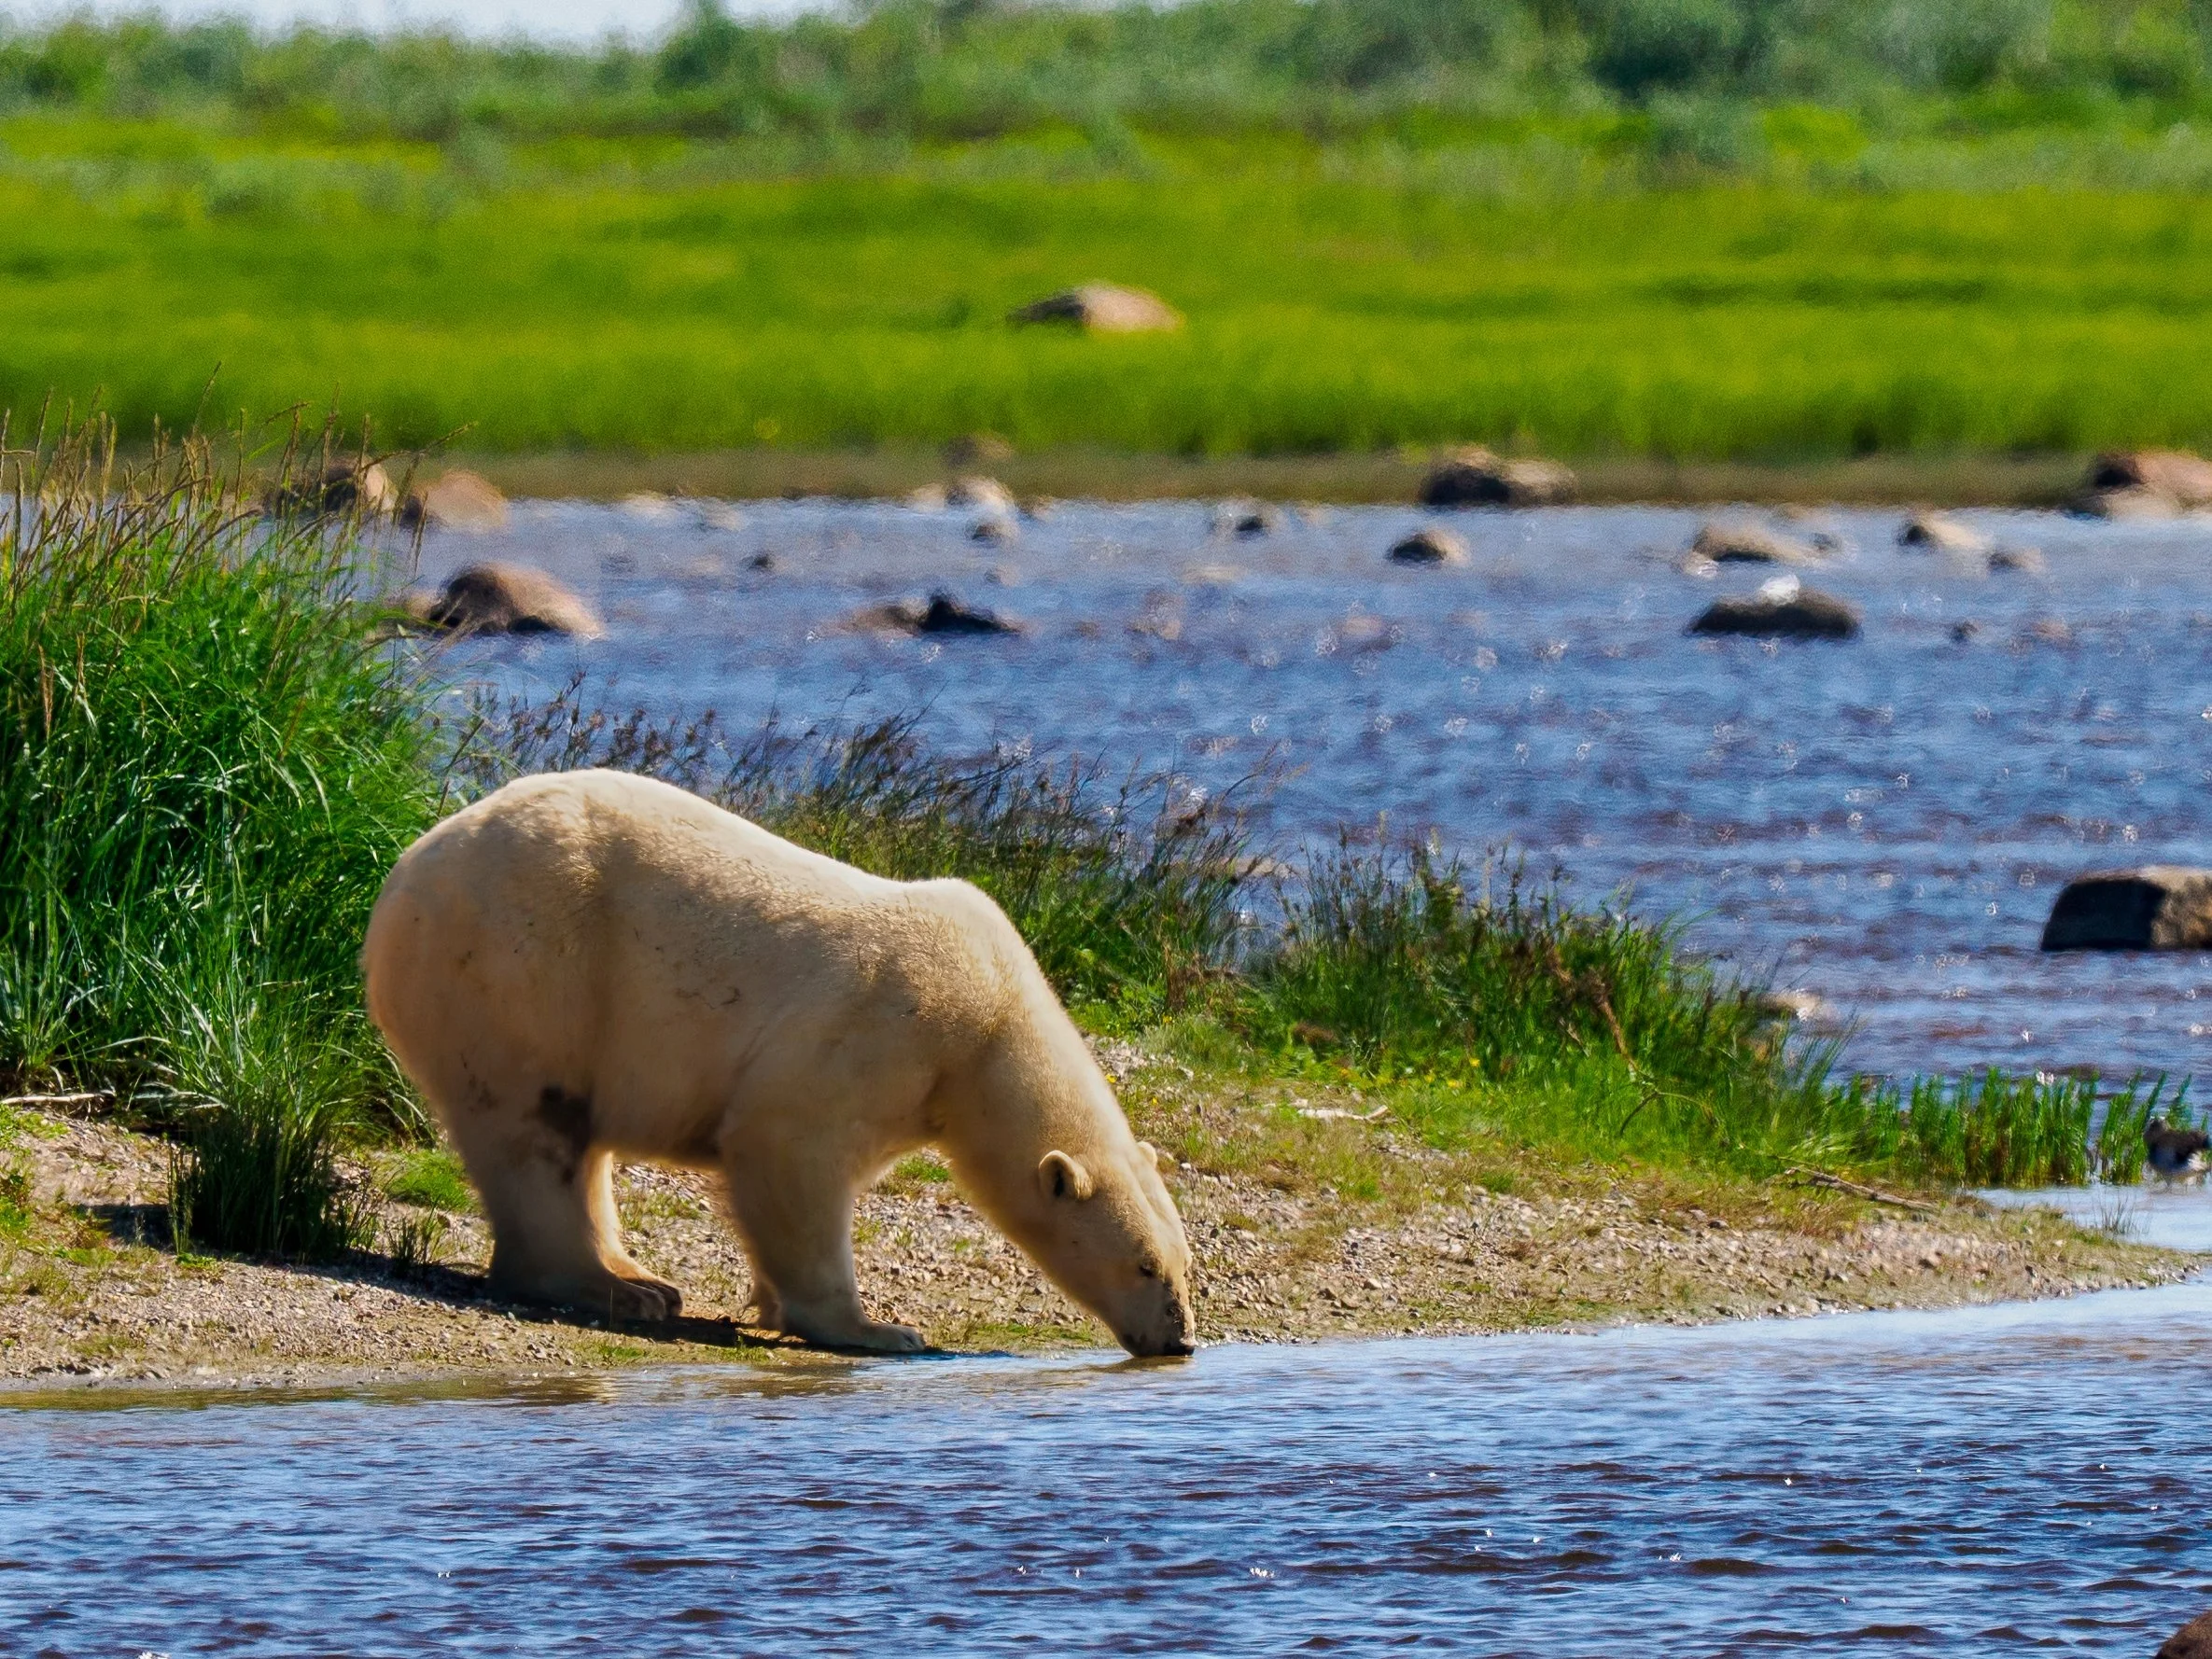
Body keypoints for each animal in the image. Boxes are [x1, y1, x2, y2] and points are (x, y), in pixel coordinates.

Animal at [362, 768, 1195, 1357]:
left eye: (1183, 1261)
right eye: (1145, 1266)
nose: (1180, 1340)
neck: (991, 1017)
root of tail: (401, 877)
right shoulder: (887, 1022)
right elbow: (789, 1143)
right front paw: (881, 1329)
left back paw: (639, 1278)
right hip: (526, 966)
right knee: (536, 1128)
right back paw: (608, 1287)